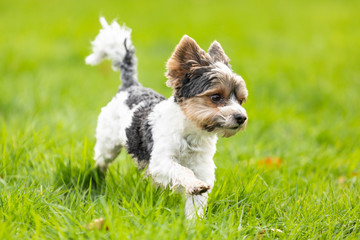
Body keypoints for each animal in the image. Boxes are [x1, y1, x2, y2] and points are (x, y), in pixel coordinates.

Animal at [85, 17, 248, 218]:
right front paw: (194, 184)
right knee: (102, 159)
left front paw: (193, 223)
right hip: (108, 144)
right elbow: (181, 170)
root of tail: (130, 86)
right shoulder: (161, 161)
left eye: (241, 100)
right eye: (216, 97)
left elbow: (196, 204)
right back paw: (99, 177)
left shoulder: (203, 168)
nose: (241, 117)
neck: (192, 133)